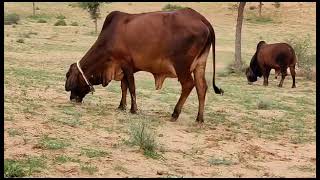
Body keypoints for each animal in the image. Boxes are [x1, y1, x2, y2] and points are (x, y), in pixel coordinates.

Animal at [64, 8, 224, 124]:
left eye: (69, 77)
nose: (72, 99)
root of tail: (200, 18)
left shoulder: (126, 64)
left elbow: (131, 87)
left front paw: (133, 109)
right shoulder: (123, 68)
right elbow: (124, 87)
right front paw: (121, 106)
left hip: (182, 66)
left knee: (188, 85)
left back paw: (175, 114)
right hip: (200, 64)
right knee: (201, 87)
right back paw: (199, 118)